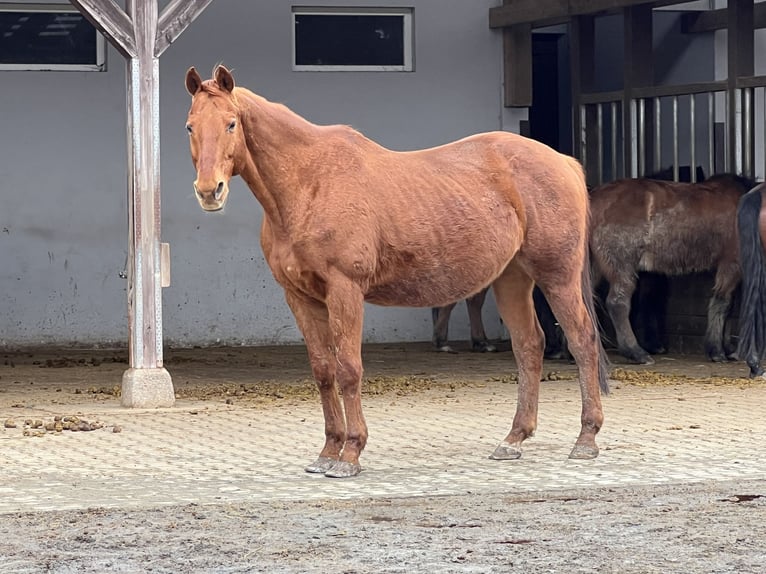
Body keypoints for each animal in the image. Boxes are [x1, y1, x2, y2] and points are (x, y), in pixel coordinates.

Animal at [188, 65, 612, 480]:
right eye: (190, 126)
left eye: (230, 123)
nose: (210, 191)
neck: (311, 183)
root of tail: (563, 161)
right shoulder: (301, 298)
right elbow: (324, 371)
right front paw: (327, 452)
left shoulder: (345, 290)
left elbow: (348, 369)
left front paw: (350, 454)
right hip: (511, 278)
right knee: (528, 346)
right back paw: (513, 439)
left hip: (557, 277)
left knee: (582, 340)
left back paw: (586, 439)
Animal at [592, 173, 752, 366]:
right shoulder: (731, 264)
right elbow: (723, 303)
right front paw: (717, 351)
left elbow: (729, 307)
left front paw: (727, 349)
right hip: (622, 268)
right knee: (617, 303)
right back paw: (637, 353)